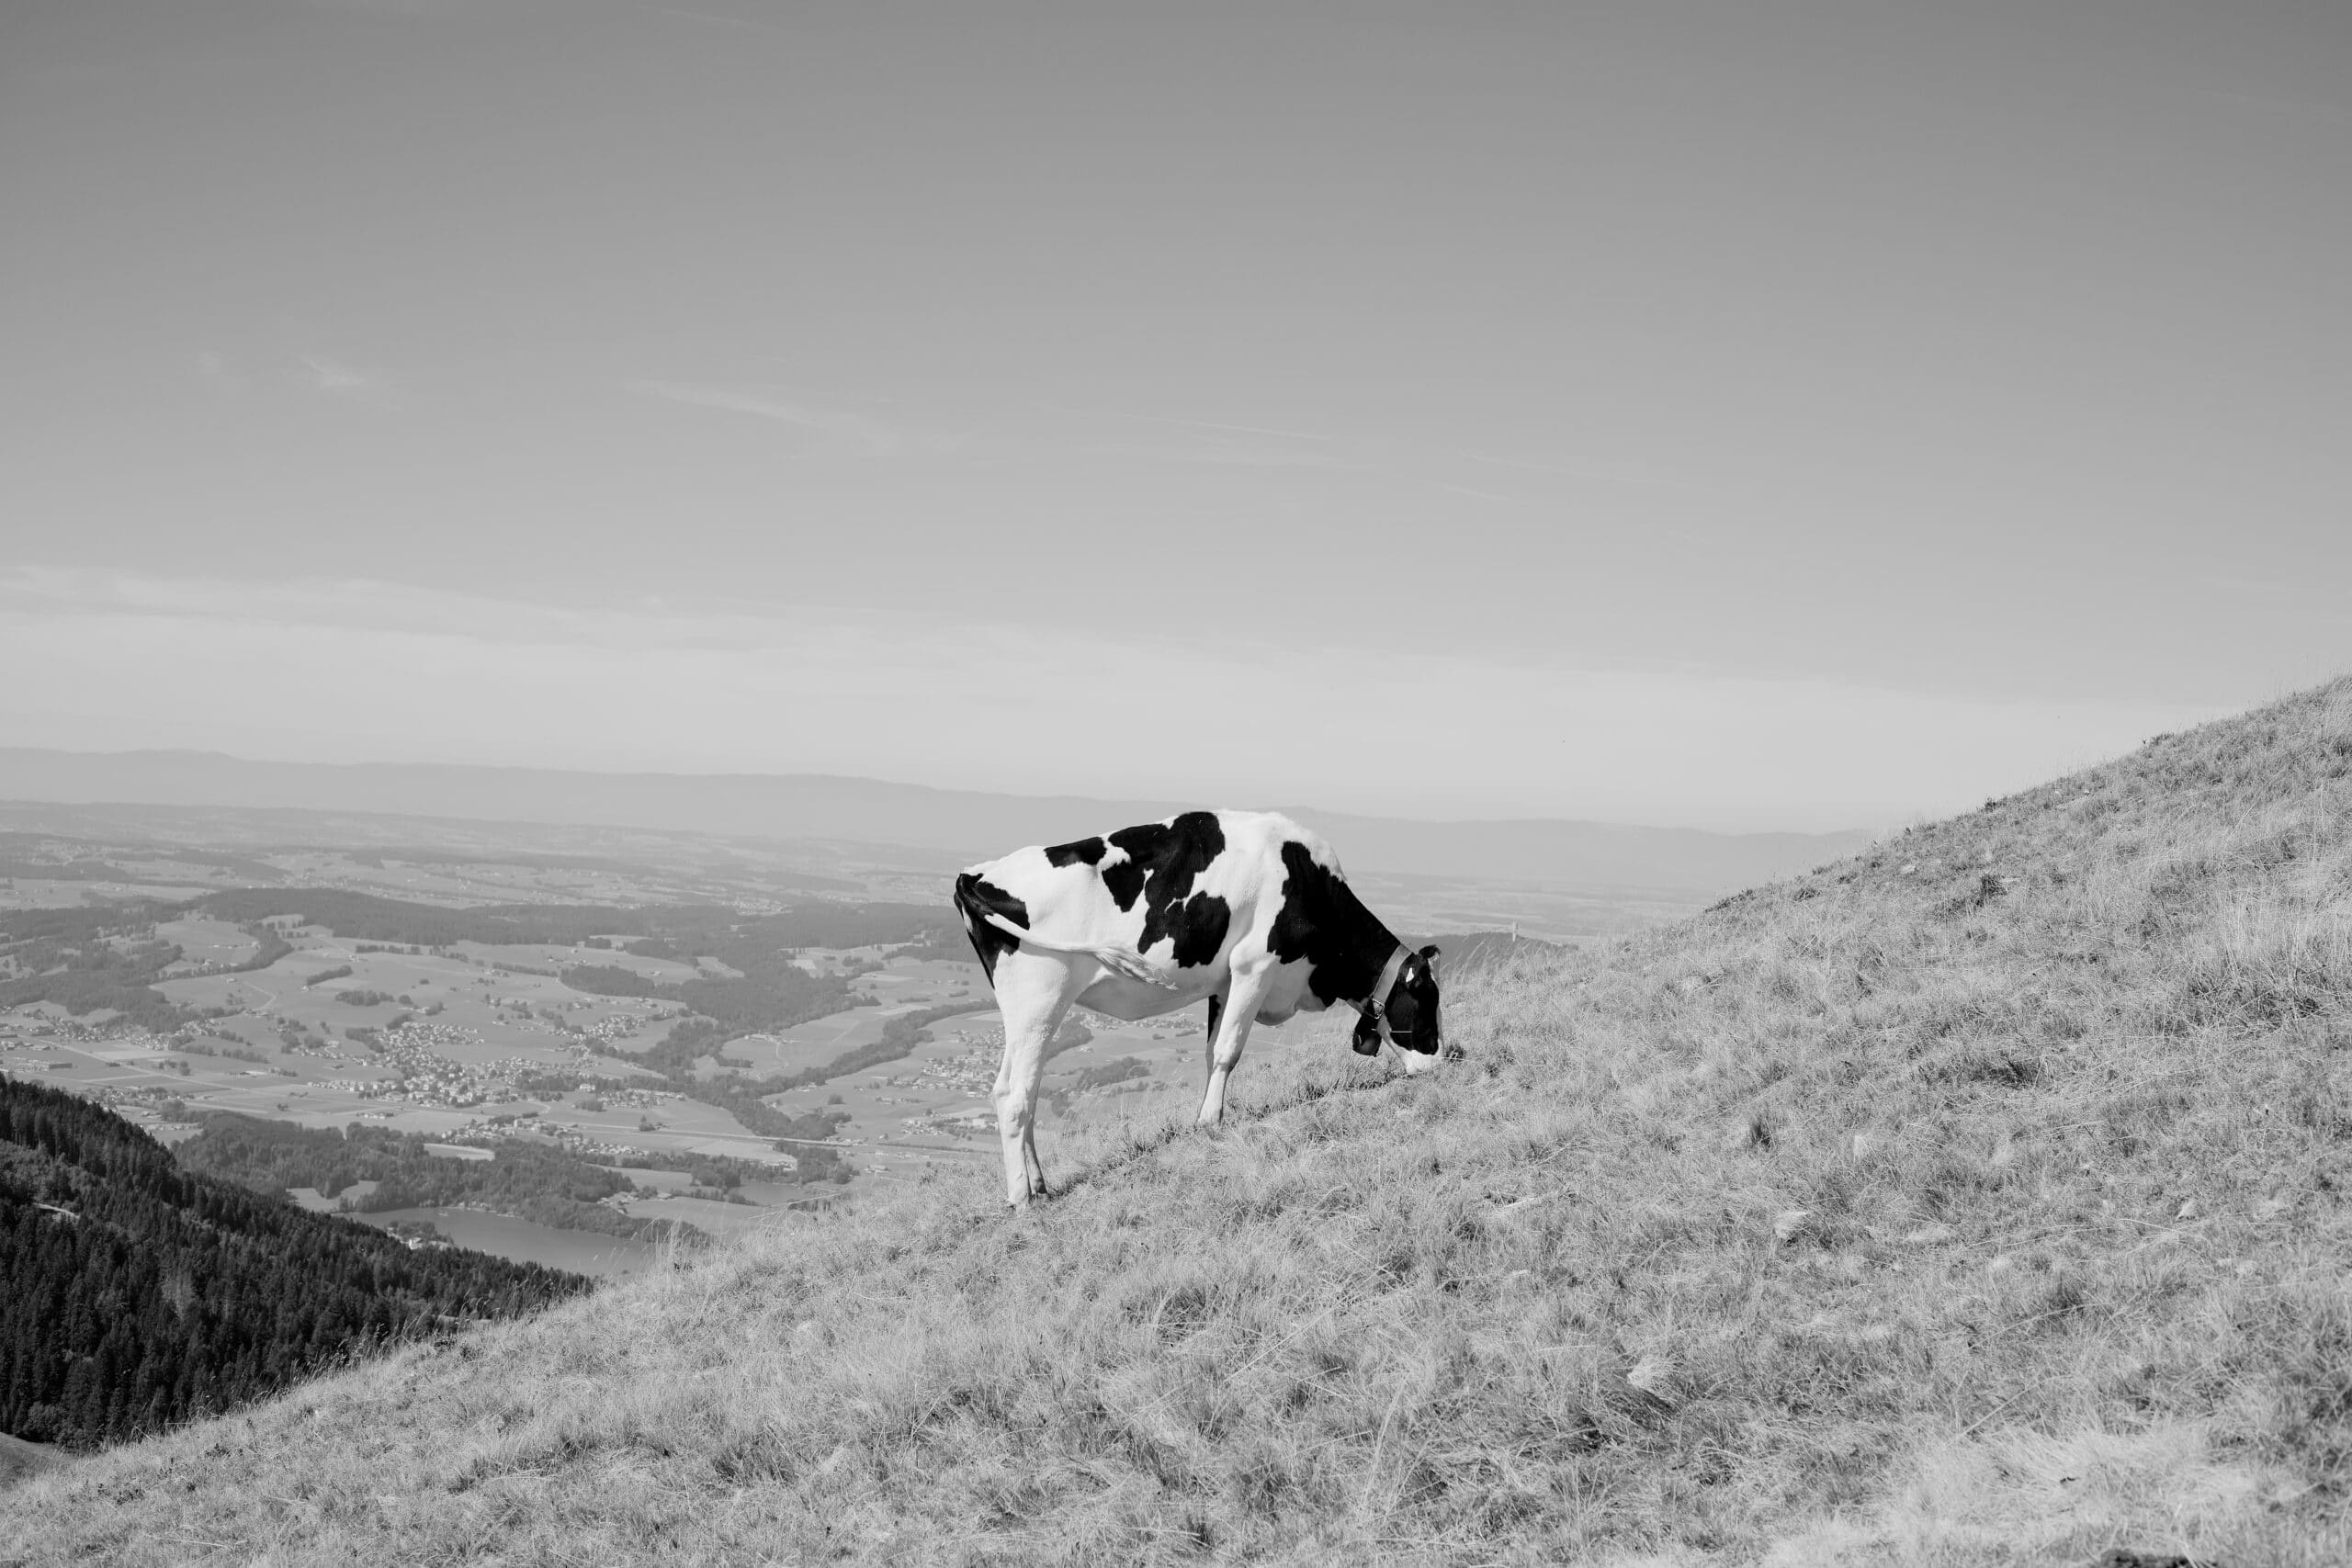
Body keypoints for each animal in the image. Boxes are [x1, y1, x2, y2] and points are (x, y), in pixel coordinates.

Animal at [952, 809, 1446, 1207]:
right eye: (1428, 1002)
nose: (1445, 1061)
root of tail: (978, 873)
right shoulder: (1254, 967)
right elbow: (1229, 1050)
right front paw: (1211, 1123)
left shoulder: (1223, 983)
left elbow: (1211, 1053)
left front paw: (1204, 1117)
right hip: (1039, 1001)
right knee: (1015, 1094)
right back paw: (1022, 1198)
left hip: (1027, 1010)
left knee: (1020, 1091)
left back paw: (1040, 1185)